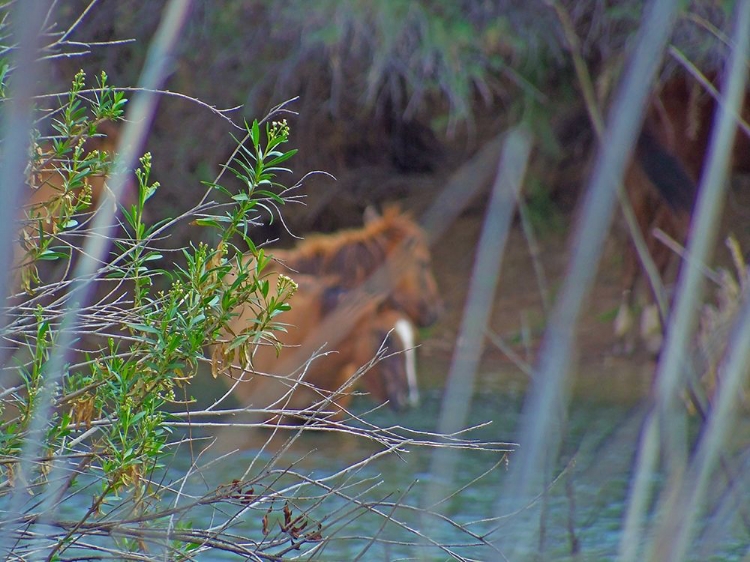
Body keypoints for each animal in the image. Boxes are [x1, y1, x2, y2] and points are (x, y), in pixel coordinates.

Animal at [616, 70, 750, 350]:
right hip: (678, 192)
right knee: (660, 246)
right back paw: (655, 328)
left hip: (639, 190)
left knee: (636, 247)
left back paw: (624, 327)